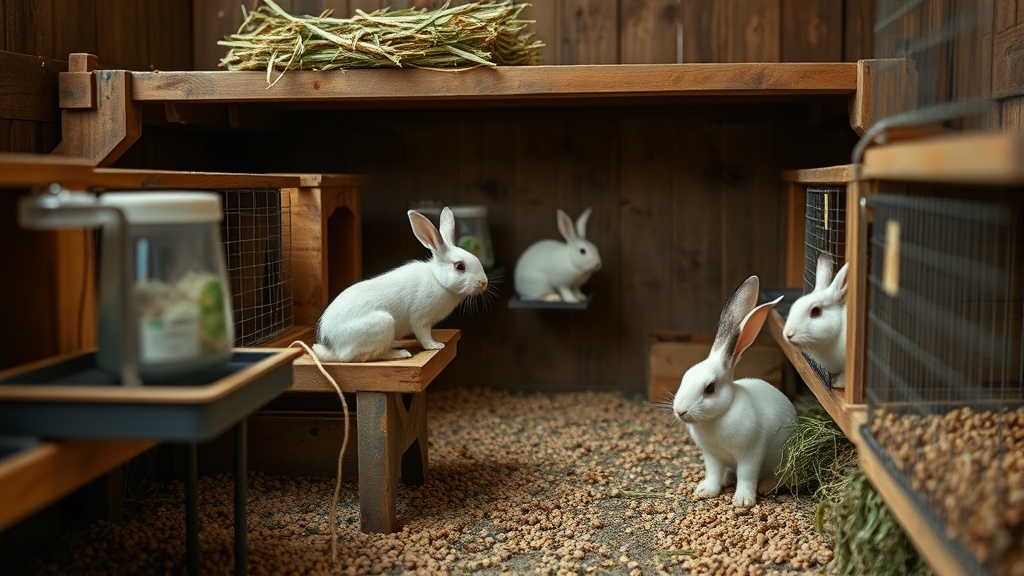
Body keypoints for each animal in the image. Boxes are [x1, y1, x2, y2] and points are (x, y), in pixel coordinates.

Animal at [312, 206, 488, 363]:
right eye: (459, 266)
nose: (484, 283)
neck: (438, 280)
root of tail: (331, 345)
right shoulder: (421, 319)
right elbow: (424, 334)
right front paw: (436, 346)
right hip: (382, 324)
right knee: (363, 356)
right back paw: (400, 353)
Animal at [672, 275, 796, 507]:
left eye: (709, 388)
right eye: (685, 376)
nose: (680, 411)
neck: (719, 417)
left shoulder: (751, 453)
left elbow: (747, 475)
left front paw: (743, 501)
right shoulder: (712, 456)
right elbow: (713, 473)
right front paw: (706, 491)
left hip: (781, 463)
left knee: (780, 476)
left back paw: (766, 487)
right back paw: (727, 479)